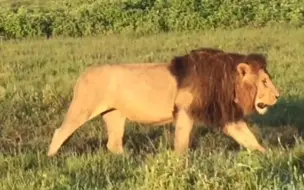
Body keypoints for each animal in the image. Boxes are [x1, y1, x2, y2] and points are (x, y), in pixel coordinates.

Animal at [47, 47, 280, 156]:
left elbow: (250, 139)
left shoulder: (226, 116)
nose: (278, 95)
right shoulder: (185, 111)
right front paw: (180, 162)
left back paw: (128, 160)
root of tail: (84, 73)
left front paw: (269, 156)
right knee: (60, 132)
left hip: (115, 114)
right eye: (264, 81)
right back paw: (51, 158)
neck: (228, 81)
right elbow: (182, 142)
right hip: (83, 109)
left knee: (113, 144)